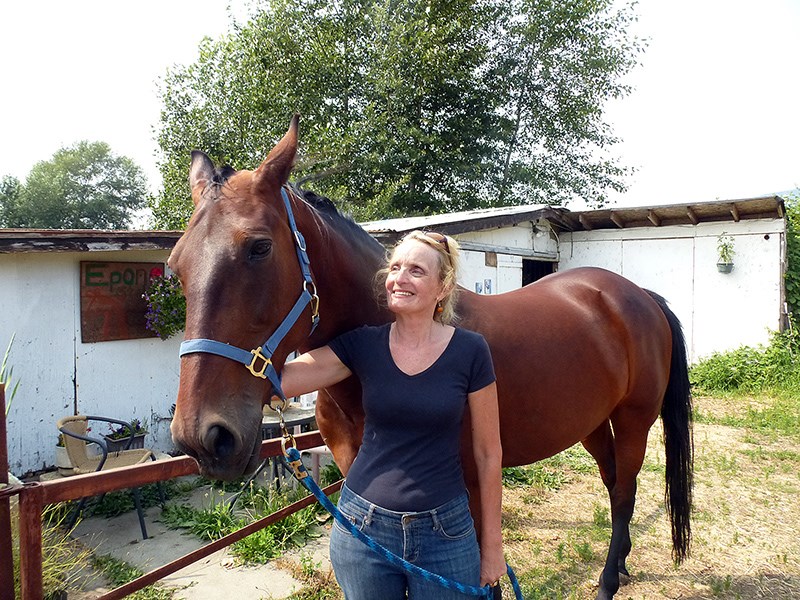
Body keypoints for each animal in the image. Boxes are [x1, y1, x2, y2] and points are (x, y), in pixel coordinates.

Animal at [170, 115, 692, 596]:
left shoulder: (475, 487)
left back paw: (607, 580)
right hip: (590, 423)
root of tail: (637, 295)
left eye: (259, 247)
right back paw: (620, 565)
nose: (203, 436)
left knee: (624, 490)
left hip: (633, 420)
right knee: (613, 483)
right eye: (176, 264)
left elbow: (486, 577)